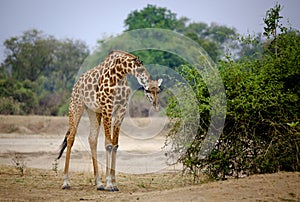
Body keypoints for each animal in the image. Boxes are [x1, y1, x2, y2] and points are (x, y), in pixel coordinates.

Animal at [57, 49, 163, 191]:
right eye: (147, 90)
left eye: (158, 91)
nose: (156, 106)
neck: (120, 73)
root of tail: (77, 84)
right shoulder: (107, 107)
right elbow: (108, 144)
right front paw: (109, 184)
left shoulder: (121, 110)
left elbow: (115, 144)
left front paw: (113, 183)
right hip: (76, 105)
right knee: (71, 138)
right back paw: (66, 182)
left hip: (93, 111)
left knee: (92, 139)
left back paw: (98, 183)